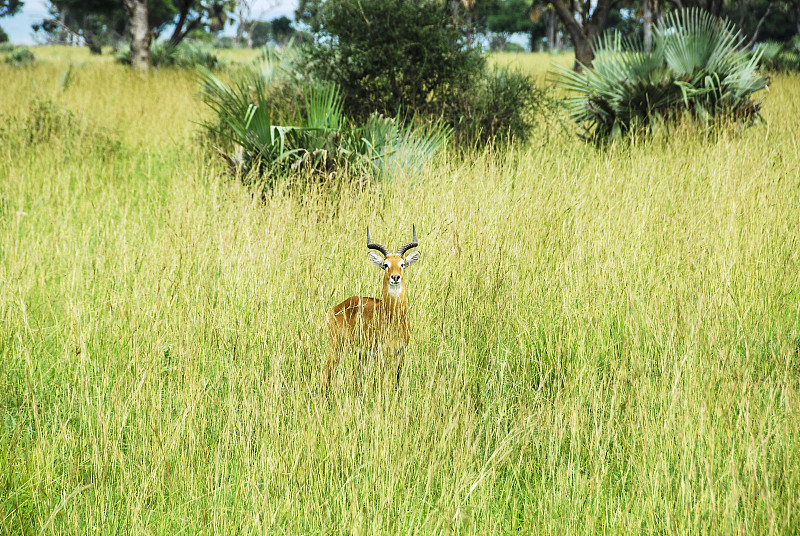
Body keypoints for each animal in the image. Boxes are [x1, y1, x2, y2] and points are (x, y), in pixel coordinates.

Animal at [324, 226, 422, 390]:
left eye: (402, 264)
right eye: (385, 265)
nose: (395, 277)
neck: (394, 319)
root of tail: (337, 308)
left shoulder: (400, 352)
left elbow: (396, 380)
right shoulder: (379, 353)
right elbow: (382, 380)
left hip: (360, 354)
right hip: (338, 348)